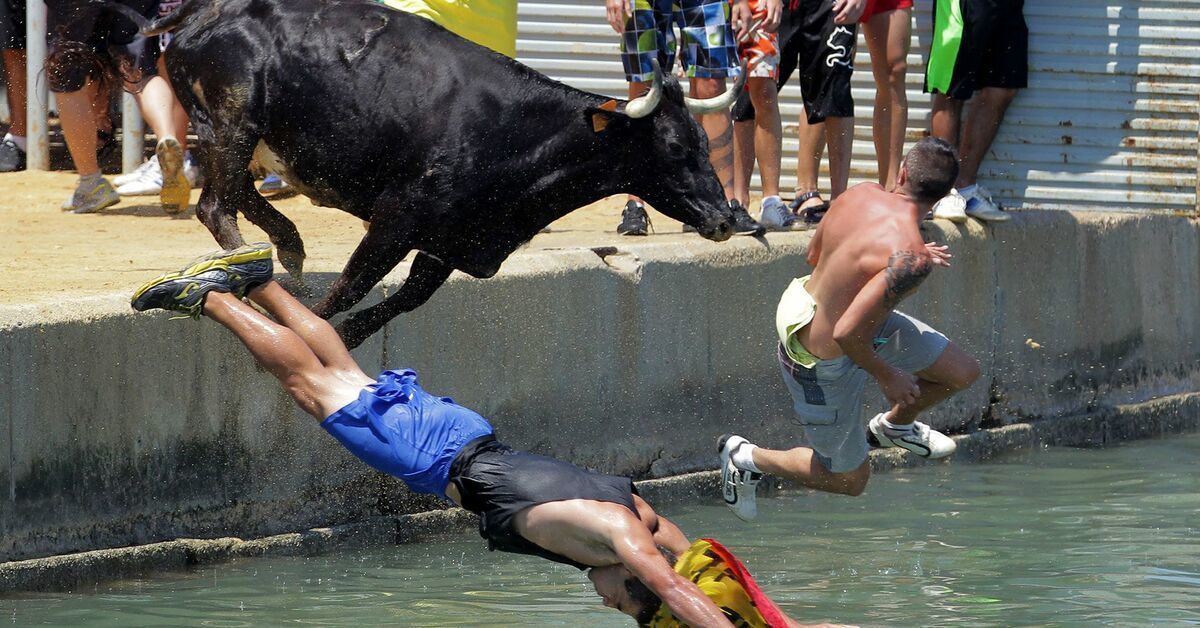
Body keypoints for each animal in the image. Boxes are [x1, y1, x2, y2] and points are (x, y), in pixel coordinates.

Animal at [140, 0, 744, 348]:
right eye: (673, 148)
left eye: (704, 145)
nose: (724, 218)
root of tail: (203, 14)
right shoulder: (398, 216)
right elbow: (351, 285)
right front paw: (310, 326)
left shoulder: (452, 240)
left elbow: (406, 298)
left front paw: (348, 335)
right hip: (234, 118)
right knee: (215, 203)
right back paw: (249, 263)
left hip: (242, 133)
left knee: (237, 190)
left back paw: (284, 245)